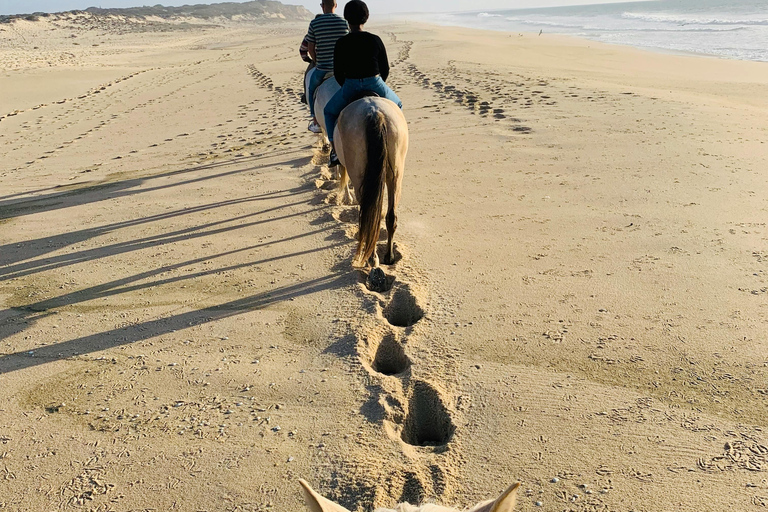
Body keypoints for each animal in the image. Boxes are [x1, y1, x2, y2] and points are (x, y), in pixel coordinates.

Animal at [334, 96, 408, 268]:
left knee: (369, 217)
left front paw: (347, 198)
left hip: (360, 177)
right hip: (396, 176)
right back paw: (388, 257)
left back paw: (372, 258)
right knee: (389, 216)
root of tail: (375, 112)